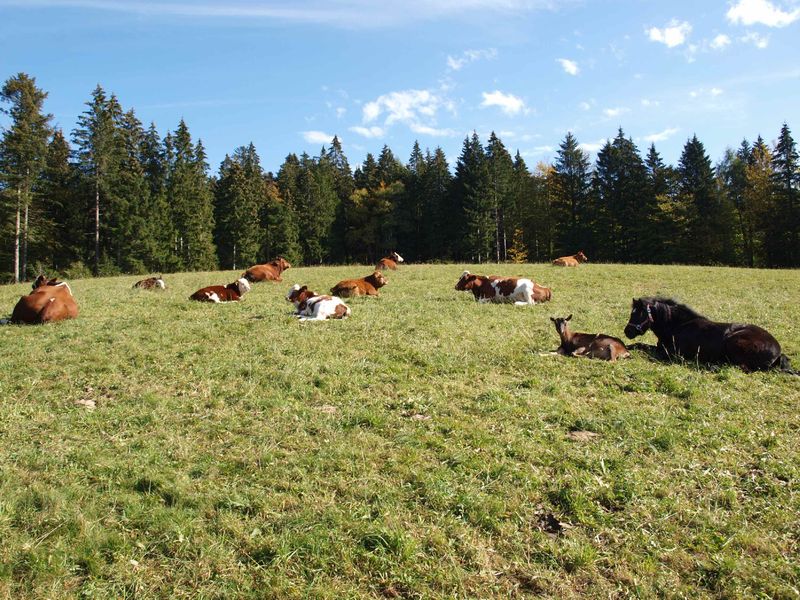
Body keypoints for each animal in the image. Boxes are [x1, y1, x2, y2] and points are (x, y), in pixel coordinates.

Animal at [624, 296, 792, 372]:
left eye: (638, 314)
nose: (627, 331)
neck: (678, 326)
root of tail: (778, 353)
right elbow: (639, 345)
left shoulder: (671, 354)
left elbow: (647, 352)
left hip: (734, 342)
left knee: (740, 367)